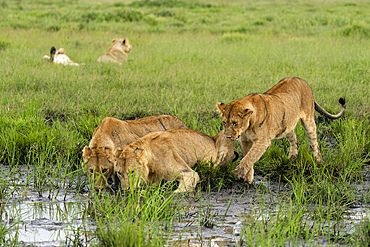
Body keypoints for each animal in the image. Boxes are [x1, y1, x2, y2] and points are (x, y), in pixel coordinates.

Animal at [215, 76, 346, 183]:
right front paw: (248, 178)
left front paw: (239, 172)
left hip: (308, 120)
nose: (227, 136)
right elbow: (248, 157)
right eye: (224, 122)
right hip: (286, 125)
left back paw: (319, 162)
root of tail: (302, 80)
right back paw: (292, 158)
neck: (247, 126)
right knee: (294, 140)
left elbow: (250, 157)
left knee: (314, 143)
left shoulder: (263, 142)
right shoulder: (245, 141)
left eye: (235, 123)